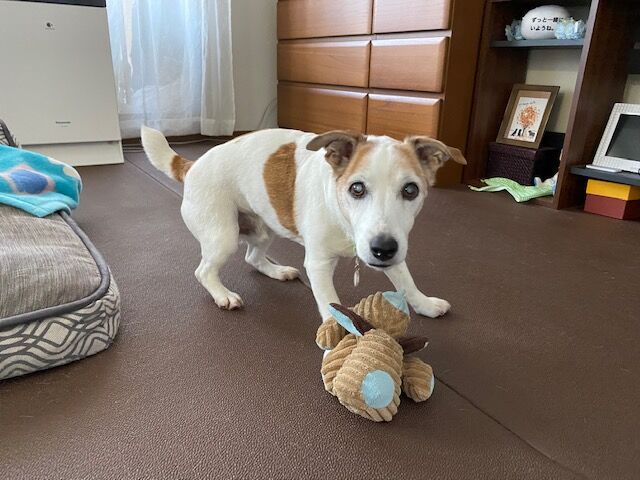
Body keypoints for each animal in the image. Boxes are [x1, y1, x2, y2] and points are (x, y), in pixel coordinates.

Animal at [141, 126, 466, 320]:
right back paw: (223, 295)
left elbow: (407, 282)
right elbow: (331, 306)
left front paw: (425, 305)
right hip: (223, 236)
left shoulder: (391, 248)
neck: (342, 218)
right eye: (357, 189)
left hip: (263, 230)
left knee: (253, 257)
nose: (382, 249)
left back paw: (277, 270)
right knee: (204, 271)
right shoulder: (319, 265)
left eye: (411, 190)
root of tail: (193, 164)